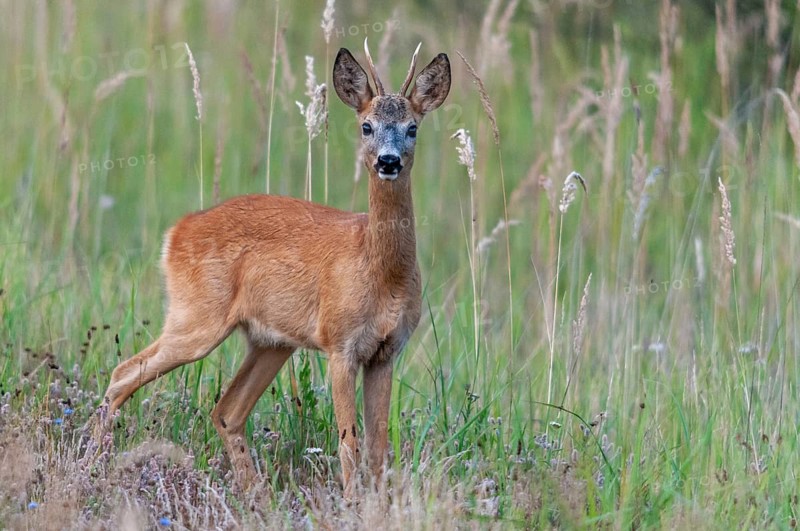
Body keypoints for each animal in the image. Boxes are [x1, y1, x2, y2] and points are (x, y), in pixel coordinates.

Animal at [94, 40, 451, 494]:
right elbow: (348, 443)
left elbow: (377, 448)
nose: (388, 162)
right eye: (367, 126)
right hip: (196, 319)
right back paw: (93, 464)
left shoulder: (386, 351)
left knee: (226, 411)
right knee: (123, 373)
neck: (380, 272)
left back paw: (253, 494)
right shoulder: (339, 344)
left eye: (413, 127)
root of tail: (176, 232)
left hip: (270, 341)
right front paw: (352, 501)